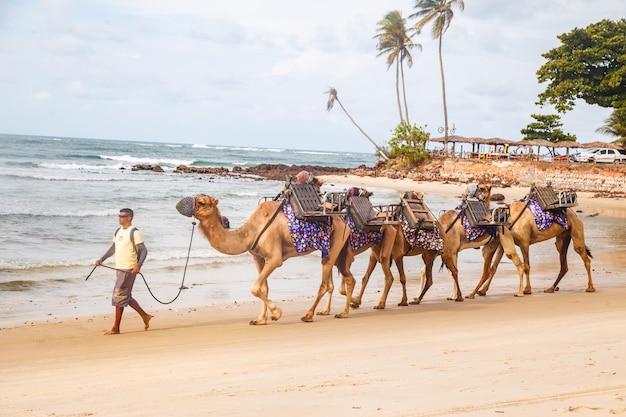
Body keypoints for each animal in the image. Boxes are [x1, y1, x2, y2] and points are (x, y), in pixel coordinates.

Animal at [177, 193, 356, 324]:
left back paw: (309, 315)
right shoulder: (258, 258)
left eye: (202, 202)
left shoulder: (275, 259)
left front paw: (277, 313)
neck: (251, 232)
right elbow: (263, 288)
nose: (179, 203)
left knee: (325, 284)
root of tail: (344, 221)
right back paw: (344, 312)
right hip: (336, 251)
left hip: (334, 246)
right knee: (348, 278)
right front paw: (260, 319)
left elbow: (255, 288)